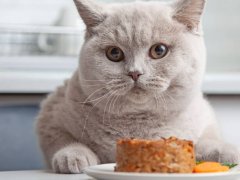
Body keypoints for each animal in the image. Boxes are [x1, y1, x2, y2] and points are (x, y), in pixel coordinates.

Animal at [36, 0, 240, 174]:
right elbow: (62, 139)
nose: (135, 72)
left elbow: (207, 139)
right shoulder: (50, 115)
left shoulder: (206, 119)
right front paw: (73, 156)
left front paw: (225, 152)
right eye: (114, 53)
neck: (139, 122)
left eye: (159, 50)